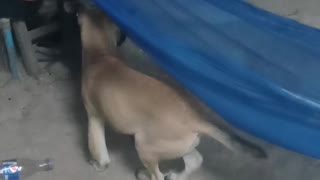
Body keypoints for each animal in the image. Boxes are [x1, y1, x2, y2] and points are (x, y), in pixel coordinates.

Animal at [79, 6, 266, 180]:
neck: (100, 53)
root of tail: (196, 118)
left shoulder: (94, 116)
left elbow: (98, 148)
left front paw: (98, 164)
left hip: (145, 146)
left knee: (158, 175)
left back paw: (145, 174)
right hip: (180, 145)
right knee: (194, 161)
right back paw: (175, 176)